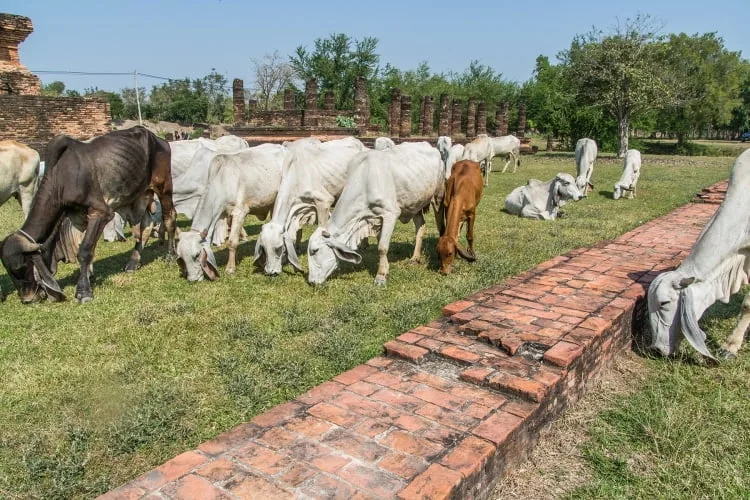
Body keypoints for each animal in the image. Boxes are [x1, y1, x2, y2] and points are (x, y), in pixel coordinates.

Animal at [0, 126, 176, 303]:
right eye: (8, 270)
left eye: (21, 266)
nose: (27, 298)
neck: (62, 178)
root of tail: (158, 139)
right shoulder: (77, 216)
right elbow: (83, 245)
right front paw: (88, 275)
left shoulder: (101, 212)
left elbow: (84, 250)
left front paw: (83, 291)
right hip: (139, 194)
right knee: (146, 225)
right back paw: (133, 262)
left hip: (163, 187)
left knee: (169, 218)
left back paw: (170, 256)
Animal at [176, 143, 287, 281]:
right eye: (181, 257)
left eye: (197, 255)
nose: (193, 279)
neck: (222, 181)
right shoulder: (222, 214)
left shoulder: (240, 212)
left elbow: (232, 242)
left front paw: (230, 268)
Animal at [254, 137, 366, 276]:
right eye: (263, 248)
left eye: (279, 248)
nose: (271, 272)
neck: (296, 174)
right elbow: (298, 232)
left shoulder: (324, 201)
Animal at [307, 142, 446, 286]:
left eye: (315, 251)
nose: (311, 281)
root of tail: (429, 146)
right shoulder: (376, 219)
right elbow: (381, 243)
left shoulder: (391, 214)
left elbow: (382, 247)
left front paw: (381, 276)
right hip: (415, 203)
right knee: (420, 226)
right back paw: (415, 258)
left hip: (438, 196)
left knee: (440, 223)